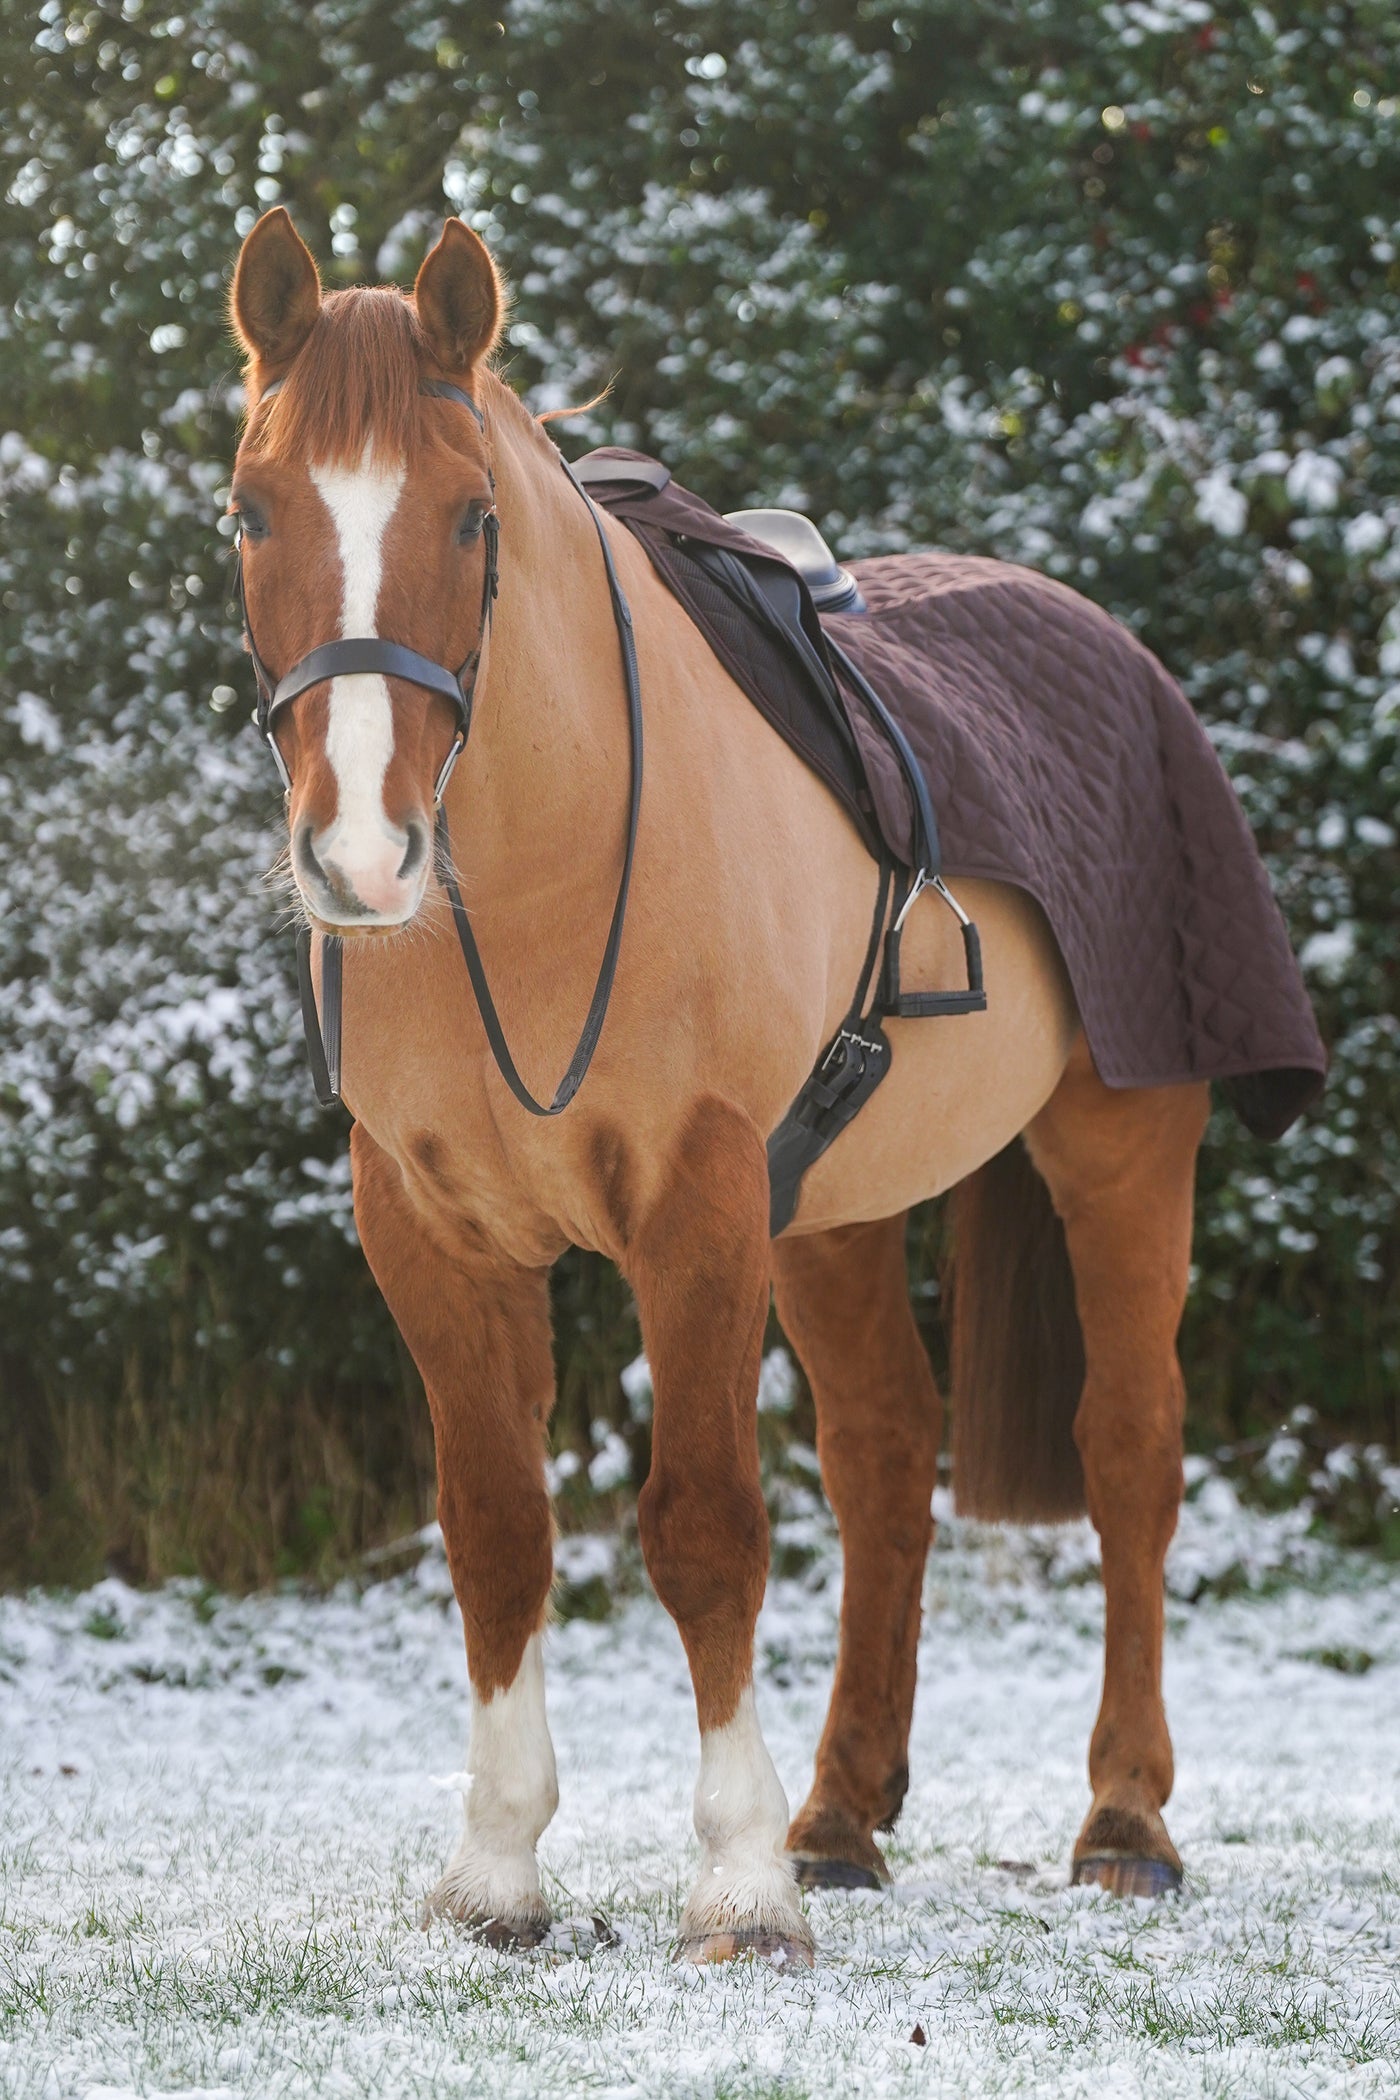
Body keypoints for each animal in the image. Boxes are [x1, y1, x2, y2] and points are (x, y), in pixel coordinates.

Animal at [226, 207, 1211, 1964]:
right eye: (252, 509)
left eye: (472, 515)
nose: (360, 853)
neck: (535, 880)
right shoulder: (432, 1231)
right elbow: (499, 1531)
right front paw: (500, 1870)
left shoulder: (691, 1202)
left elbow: (704, 1528)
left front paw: (738, 1886)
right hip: (826, 1211)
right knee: (885, 1456)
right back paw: (841, 1815)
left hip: (1120, 1154)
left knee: (1129, 1453)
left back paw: (1121, 1820)